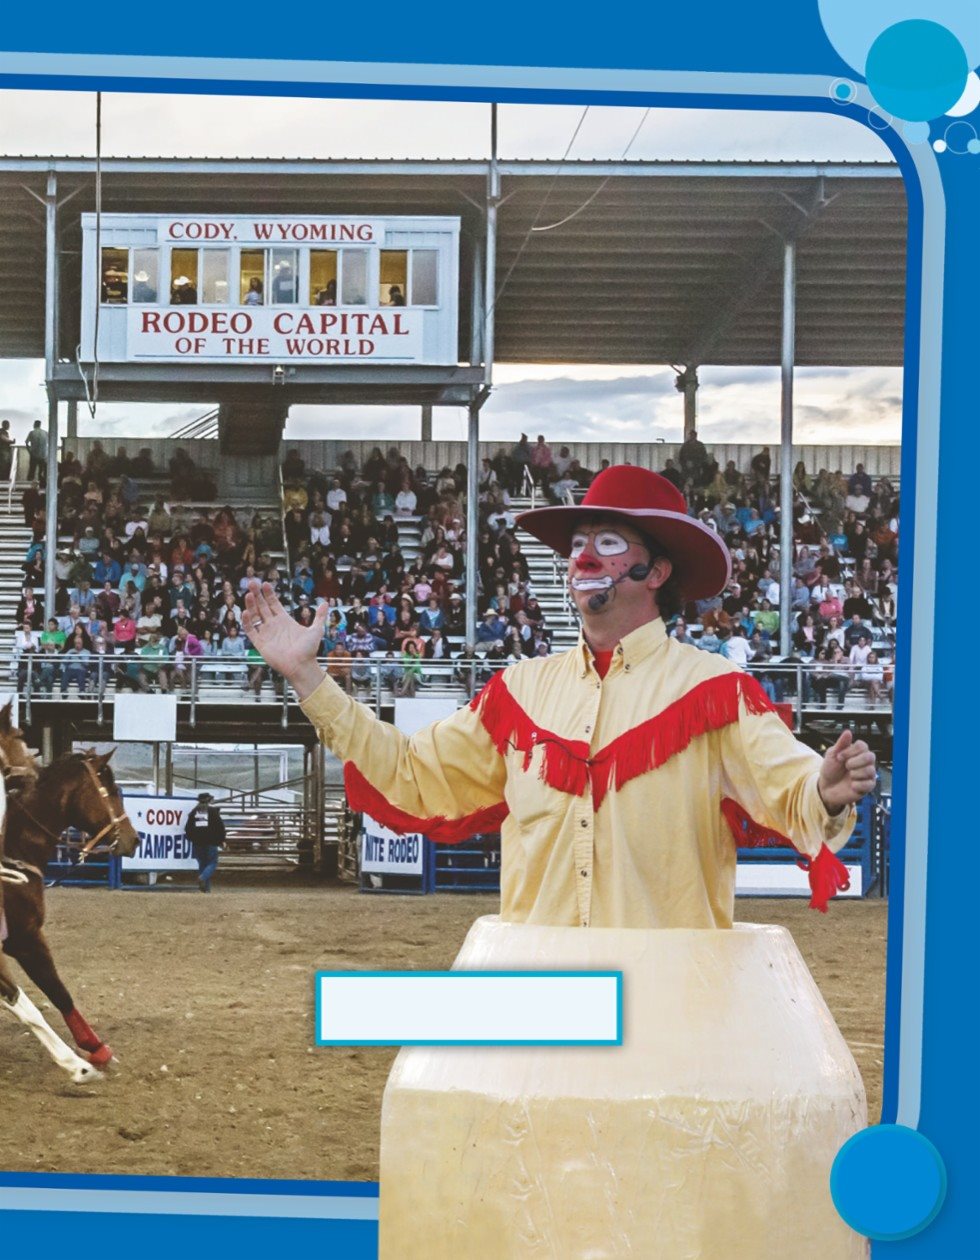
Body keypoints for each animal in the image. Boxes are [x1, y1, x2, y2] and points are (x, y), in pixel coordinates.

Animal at [0, 720, 139, 1083]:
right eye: (113, 790)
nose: (135, 839)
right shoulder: (26, 939)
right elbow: (52, 995)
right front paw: (83, 1063)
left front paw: (94, 1049)